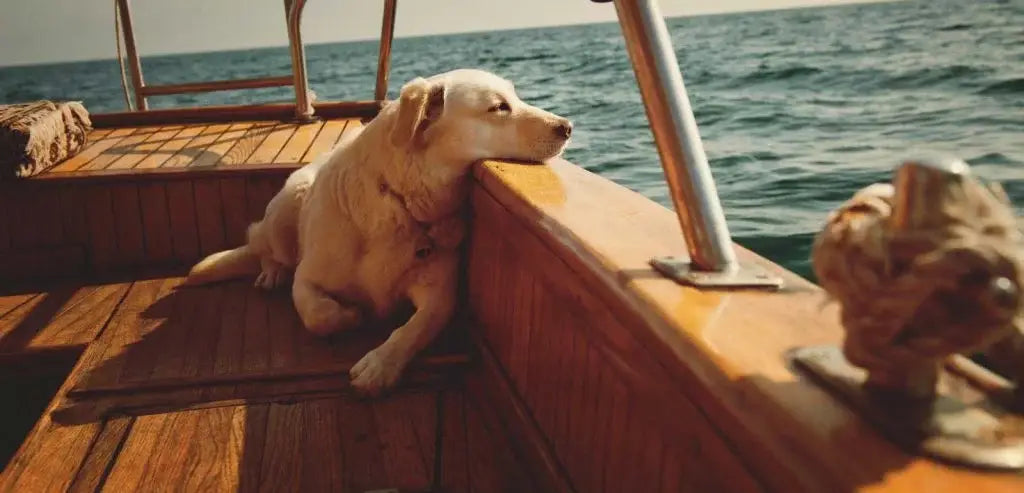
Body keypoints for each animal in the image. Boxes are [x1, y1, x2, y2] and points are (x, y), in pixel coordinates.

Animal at [180, 68, 573, 391]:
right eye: (498, 107)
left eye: (515, 97)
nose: (567, 126)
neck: (401, 201)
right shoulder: (307, 279)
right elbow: (318, 315)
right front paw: (350, 315)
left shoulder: (440, 290)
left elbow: (415, 326)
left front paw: (381, 364)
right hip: (286, 205)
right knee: (264, 245)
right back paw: (271, 272)